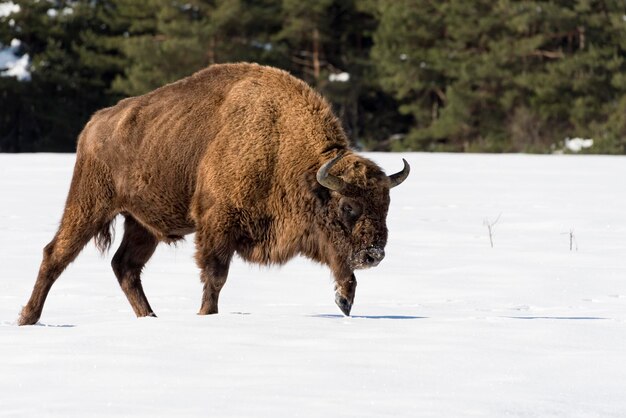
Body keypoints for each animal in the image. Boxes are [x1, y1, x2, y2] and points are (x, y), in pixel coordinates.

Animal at [17, 62, 408, 324]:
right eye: (348, 207)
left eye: (386, 205)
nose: (375, 254)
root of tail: (94, 125)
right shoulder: (217, 224)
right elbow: (215, 275)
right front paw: (207, 316)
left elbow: (343, 269)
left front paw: (344, 302)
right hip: (90, 203)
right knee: (56, 254)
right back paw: (28, 317)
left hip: (141, 224)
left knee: (124, 266)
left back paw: (150, 317)